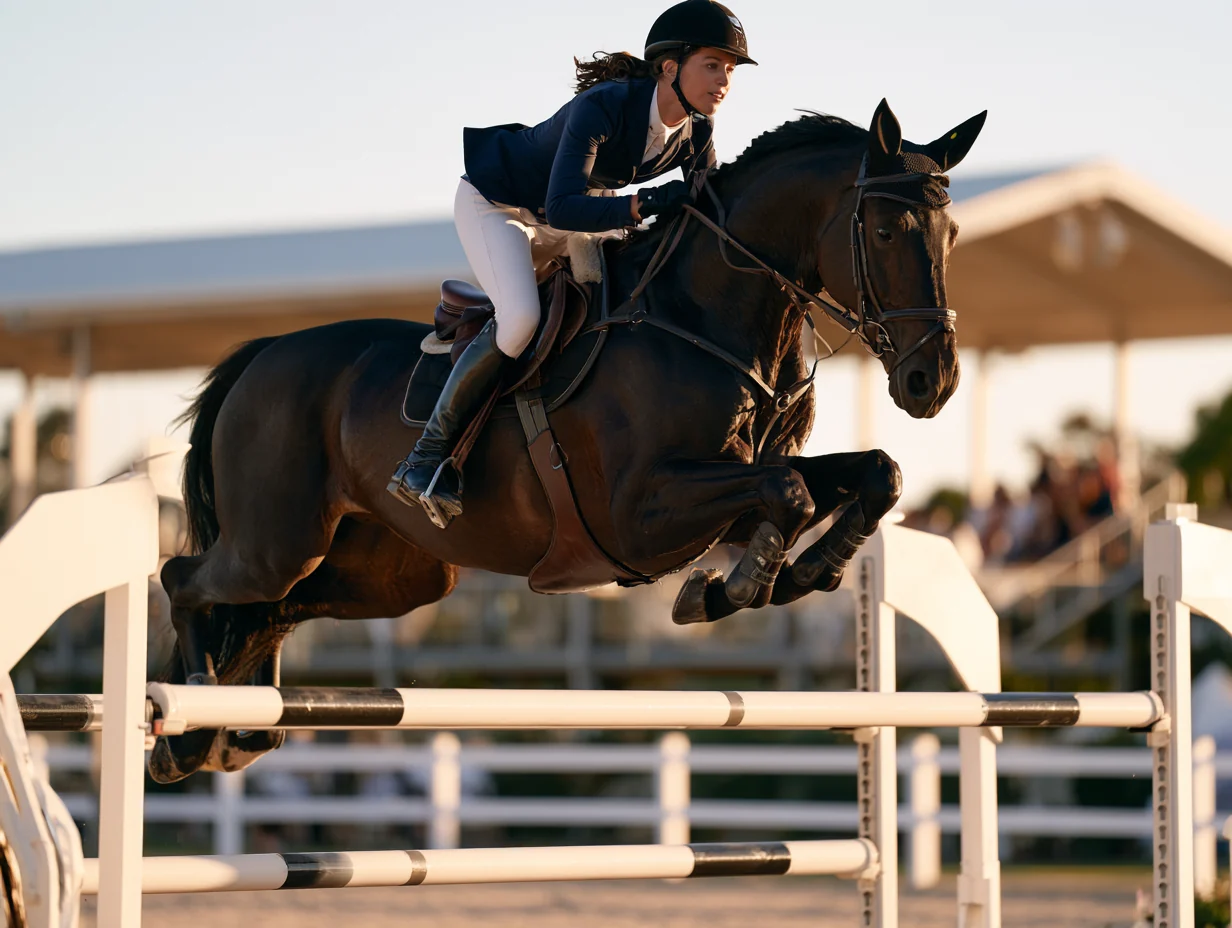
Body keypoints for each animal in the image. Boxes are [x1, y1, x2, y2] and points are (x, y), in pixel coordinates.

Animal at [151, 99, 986, 783]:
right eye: (884, 230)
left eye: (951, 235)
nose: (933, 382)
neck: (703, 318)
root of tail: (265, 352)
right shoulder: (641, 515)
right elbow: (792, 491)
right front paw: (741, 586)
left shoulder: (726, 491)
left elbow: (870, 474)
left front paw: (798, 573)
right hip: (276, 541)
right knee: (183, 577)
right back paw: (185, 728)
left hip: (394, 572)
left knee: (272, 610)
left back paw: (236, 731)